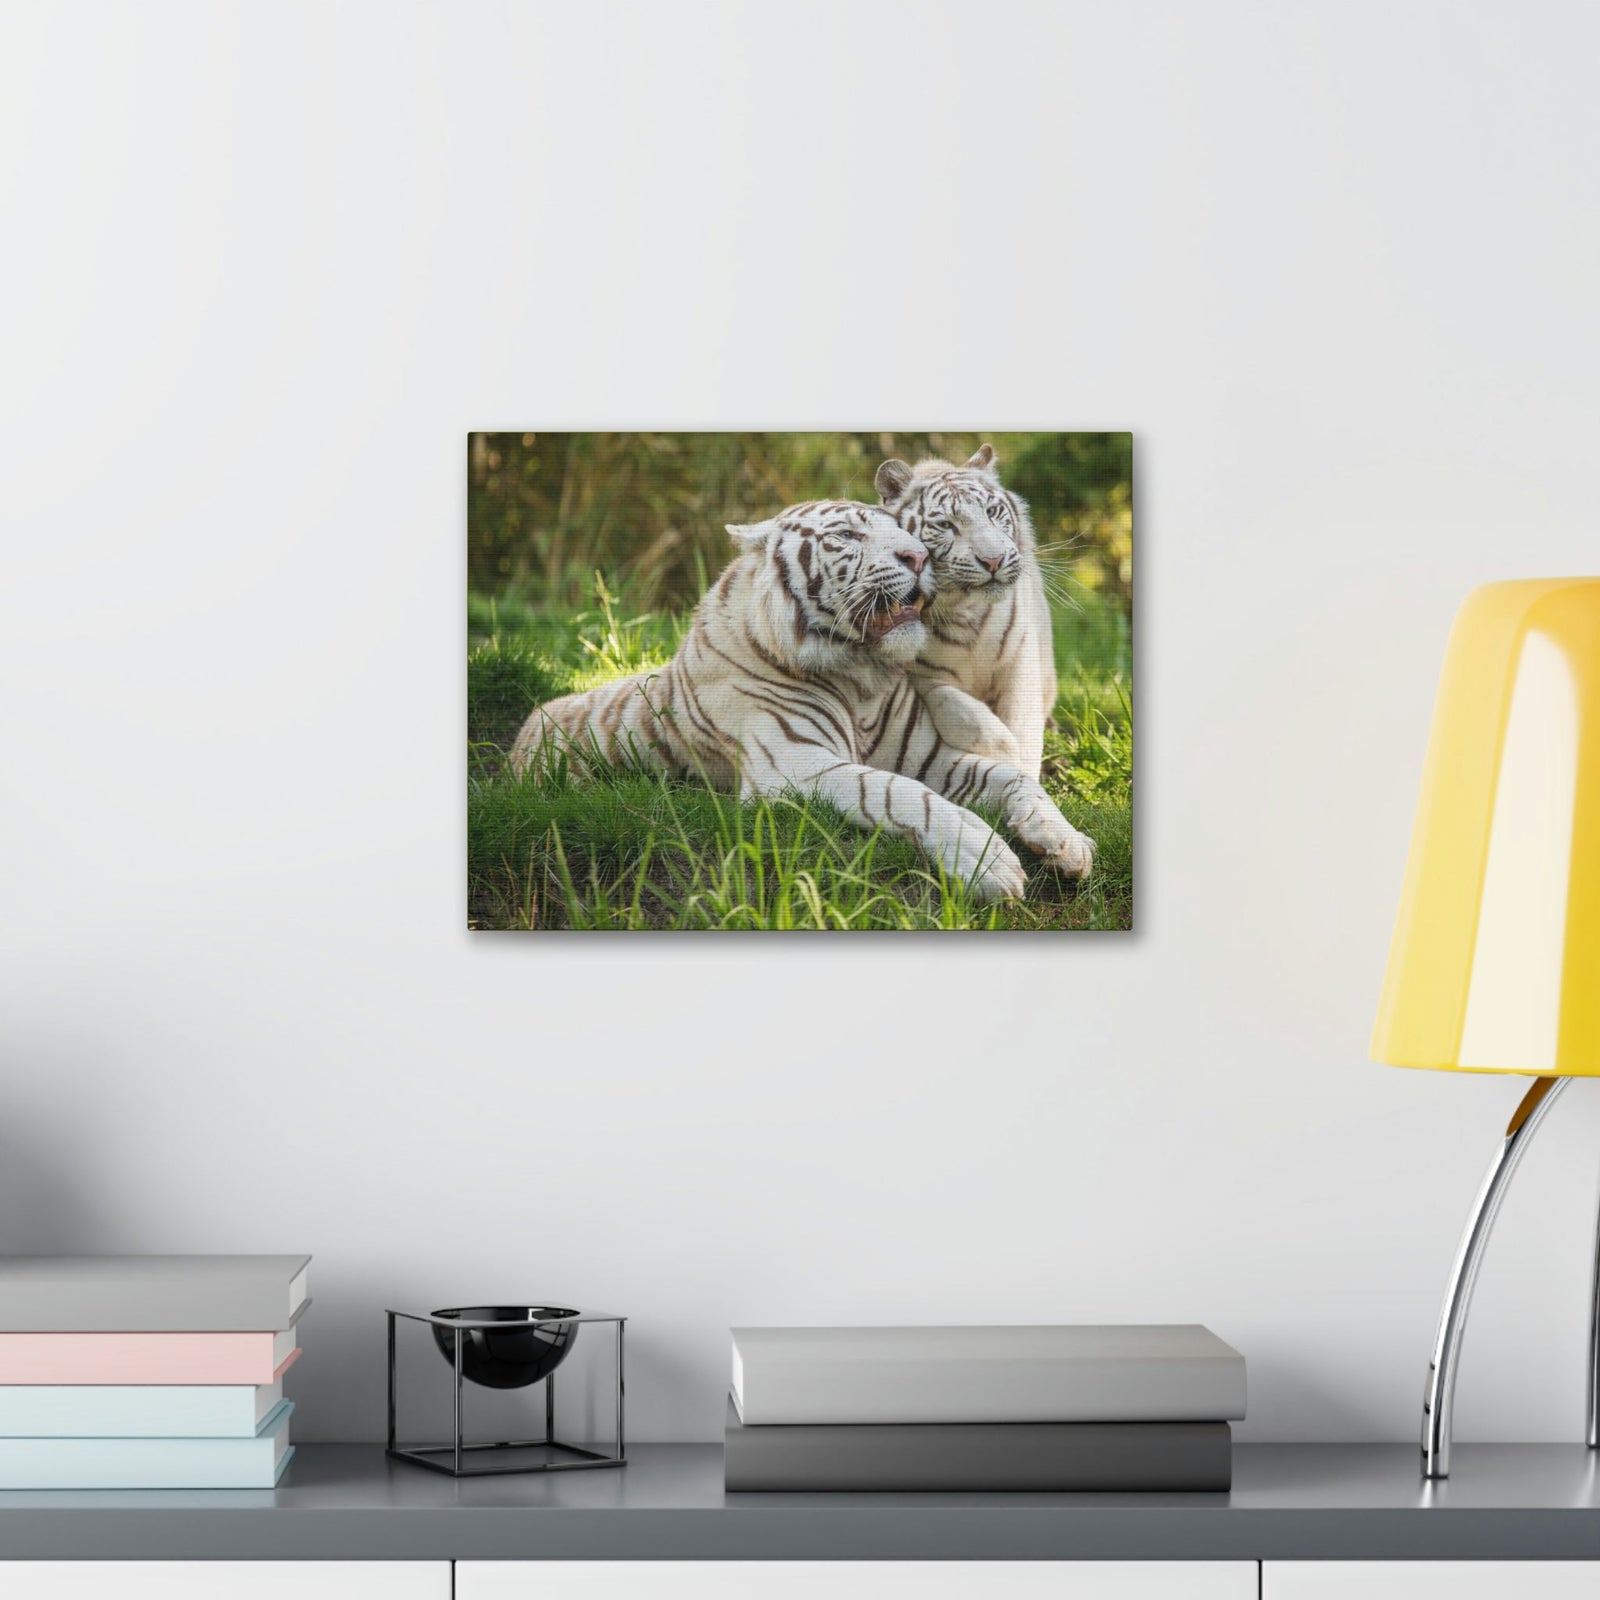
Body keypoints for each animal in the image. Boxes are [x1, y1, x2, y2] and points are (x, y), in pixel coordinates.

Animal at [508, 500, 1095, 900]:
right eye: (848, 535)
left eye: (906, 531)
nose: (919, 555)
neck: (860, 678)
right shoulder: (794, 766)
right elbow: (898, 793)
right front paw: (986, 859)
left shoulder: (930, 756)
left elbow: (1015, 779)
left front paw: (1065, 842)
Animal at [875, 444, 1058, 781]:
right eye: (946, 525)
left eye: (992, 512)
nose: (994, 560)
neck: (965, 612)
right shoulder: (917, 673)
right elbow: (959, 708)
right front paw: (1004, 751)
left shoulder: (1021, 661)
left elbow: (1024, 725)